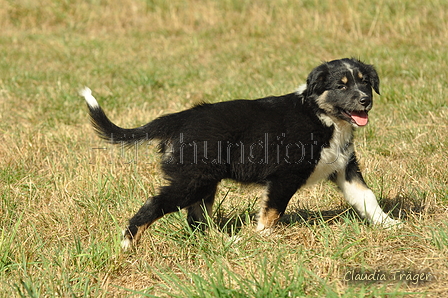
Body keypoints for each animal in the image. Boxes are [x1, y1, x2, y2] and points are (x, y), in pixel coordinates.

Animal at [80, 57, 400, 249]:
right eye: (340, 86)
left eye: (365, 82)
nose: (366, 100)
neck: (323, 117)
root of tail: (180, 118)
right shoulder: (285, 175)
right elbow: (273, 210)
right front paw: (264, 237)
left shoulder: (344, 166)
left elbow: (367, 197)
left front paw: (390, 224)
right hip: (192, 179)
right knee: (155, 204)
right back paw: (127, 244)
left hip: (204, 181)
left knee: (197, 217)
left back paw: (221, 242)